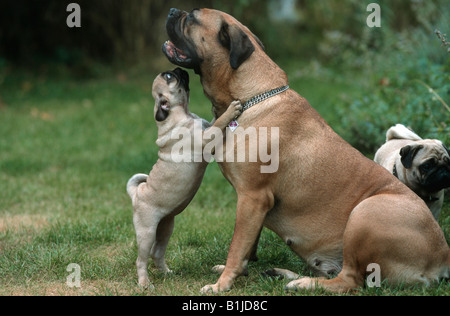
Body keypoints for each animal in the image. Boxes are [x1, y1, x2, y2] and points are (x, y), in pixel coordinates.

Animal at [161, 8, 446, 294]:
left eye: (192, 18)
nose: (173, 11)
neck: (252, 98)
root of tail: (442, 261)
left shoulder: (252, 197)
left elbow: (237, 245)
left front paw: (222, 284)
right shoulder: (253, 205)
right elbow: (248, 245)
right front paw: (240, 272)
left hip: (365, 213)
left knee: (348, 281)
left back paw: (303, 283)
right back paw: (281, 274)